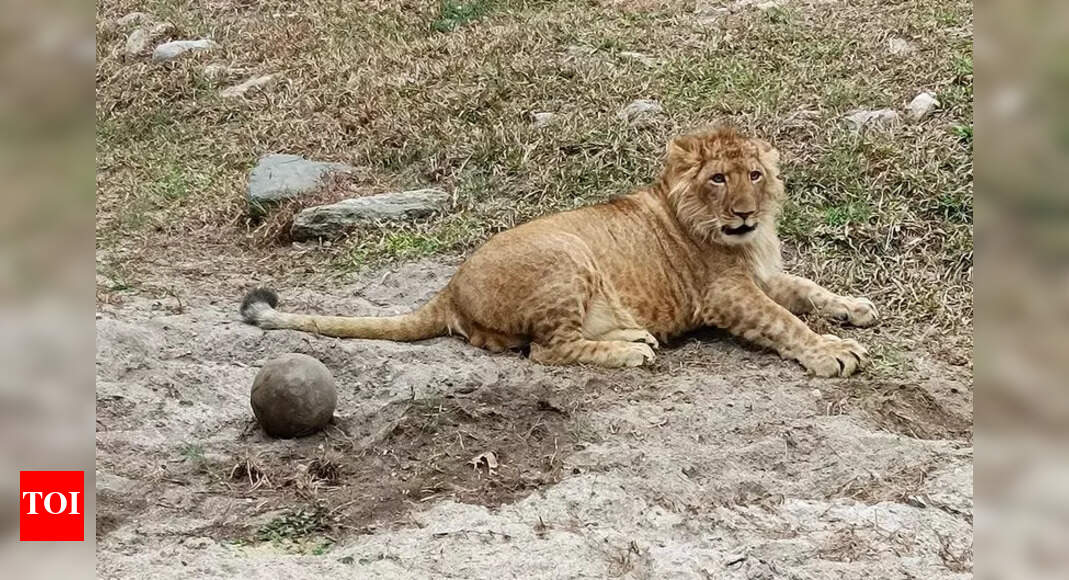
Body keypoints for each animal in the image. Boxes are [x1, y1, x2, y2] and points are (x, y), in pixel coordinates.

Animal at [241, 128, 877, 376]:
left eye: (754, 174)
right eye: (718, 178)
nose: (744, 212)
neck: (746, 239)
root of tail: (449, 289)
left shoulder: (766, 274)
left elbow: (807, 290)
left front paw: (854, 307)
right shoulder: (726, 295)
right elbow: (784, 321)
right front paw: (832, 352)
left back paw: (634, 335)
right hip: (567, 256)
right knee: (547, 351)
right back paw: (631, 351)